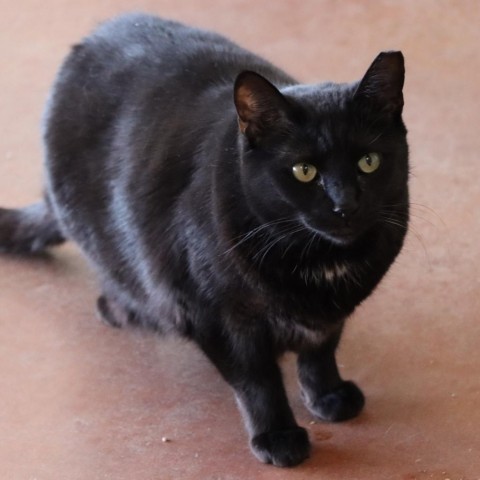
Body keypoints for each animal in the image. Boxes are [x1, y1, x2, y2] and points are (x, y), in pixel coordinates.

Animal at [0, 13, 408, 466]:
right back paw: (126, 310)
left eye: (368, 162)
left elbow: (321, 350)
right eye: (304, 171)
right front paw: (278, 435)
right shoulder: (216, 314)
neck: (320, 262)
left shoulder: (331, 314)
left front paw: (327, 395)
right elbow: (257, 379)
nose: (345, 204)